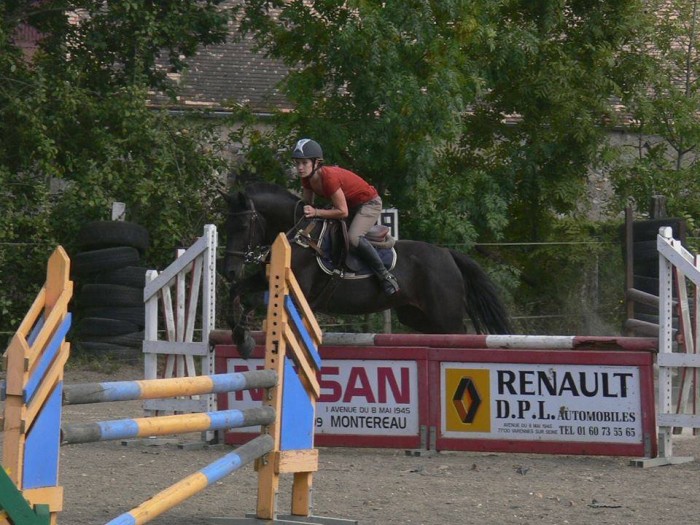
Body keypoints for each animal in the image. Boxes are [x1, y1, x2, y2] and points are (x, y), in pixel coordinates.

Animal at [222, 182, 511, 357]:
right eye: (227, 225)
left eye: (243, 226)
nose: (229, 271)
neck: (297, 235)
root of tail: (447, 254)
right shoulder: (264, 279)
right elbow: (237, 292)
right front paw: (240, 336)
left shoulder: (298, 288)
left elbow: (252, 299)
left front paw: (245, 338)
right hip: (416, 316)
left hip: (444, 314)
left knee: (460, 333)